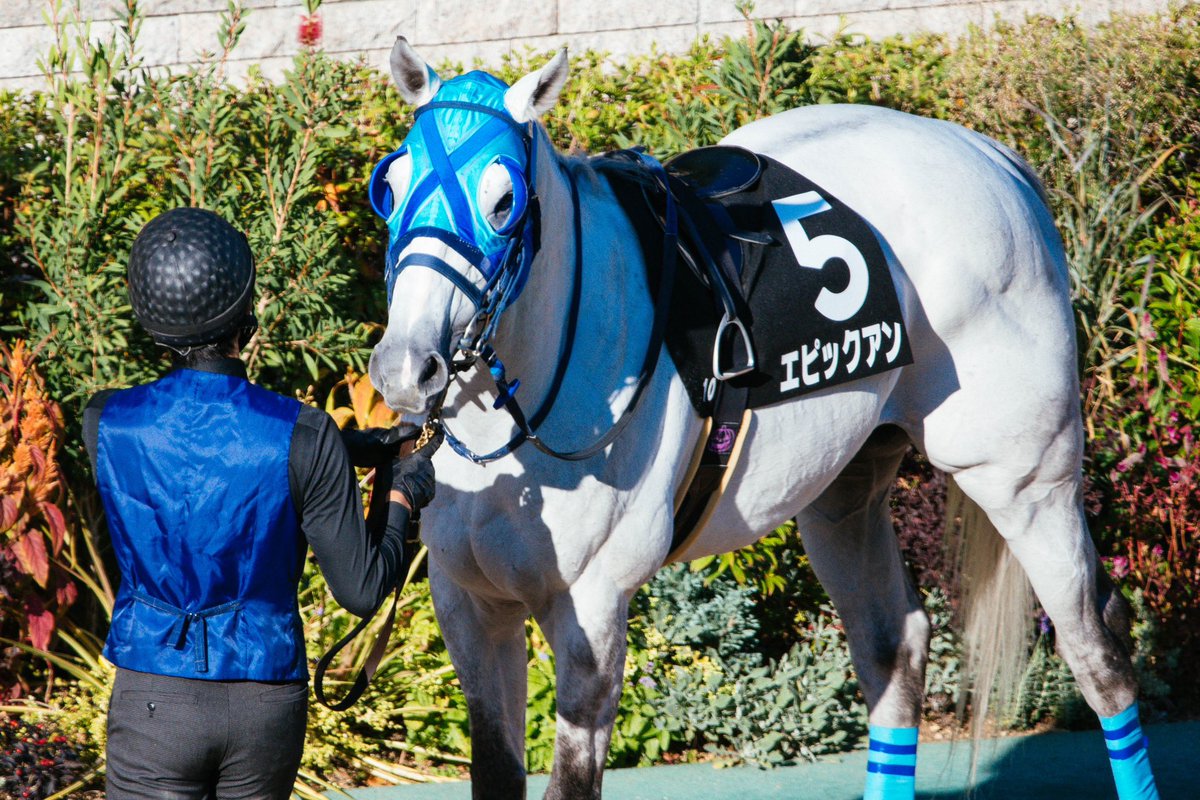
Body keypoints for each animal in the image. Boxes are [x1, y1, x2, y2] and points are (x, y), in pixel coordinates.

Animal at [364, 36, 1160, 800]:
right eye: (391, 187)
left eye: (503, 201)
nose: (406, 368)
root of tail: (995, 159)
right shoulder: (470, 605)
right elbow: (496, 772)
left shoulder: (591, 607)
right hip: (845, 489)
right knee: (895, 646)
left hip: (1026, 479)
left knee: (1099, 654)